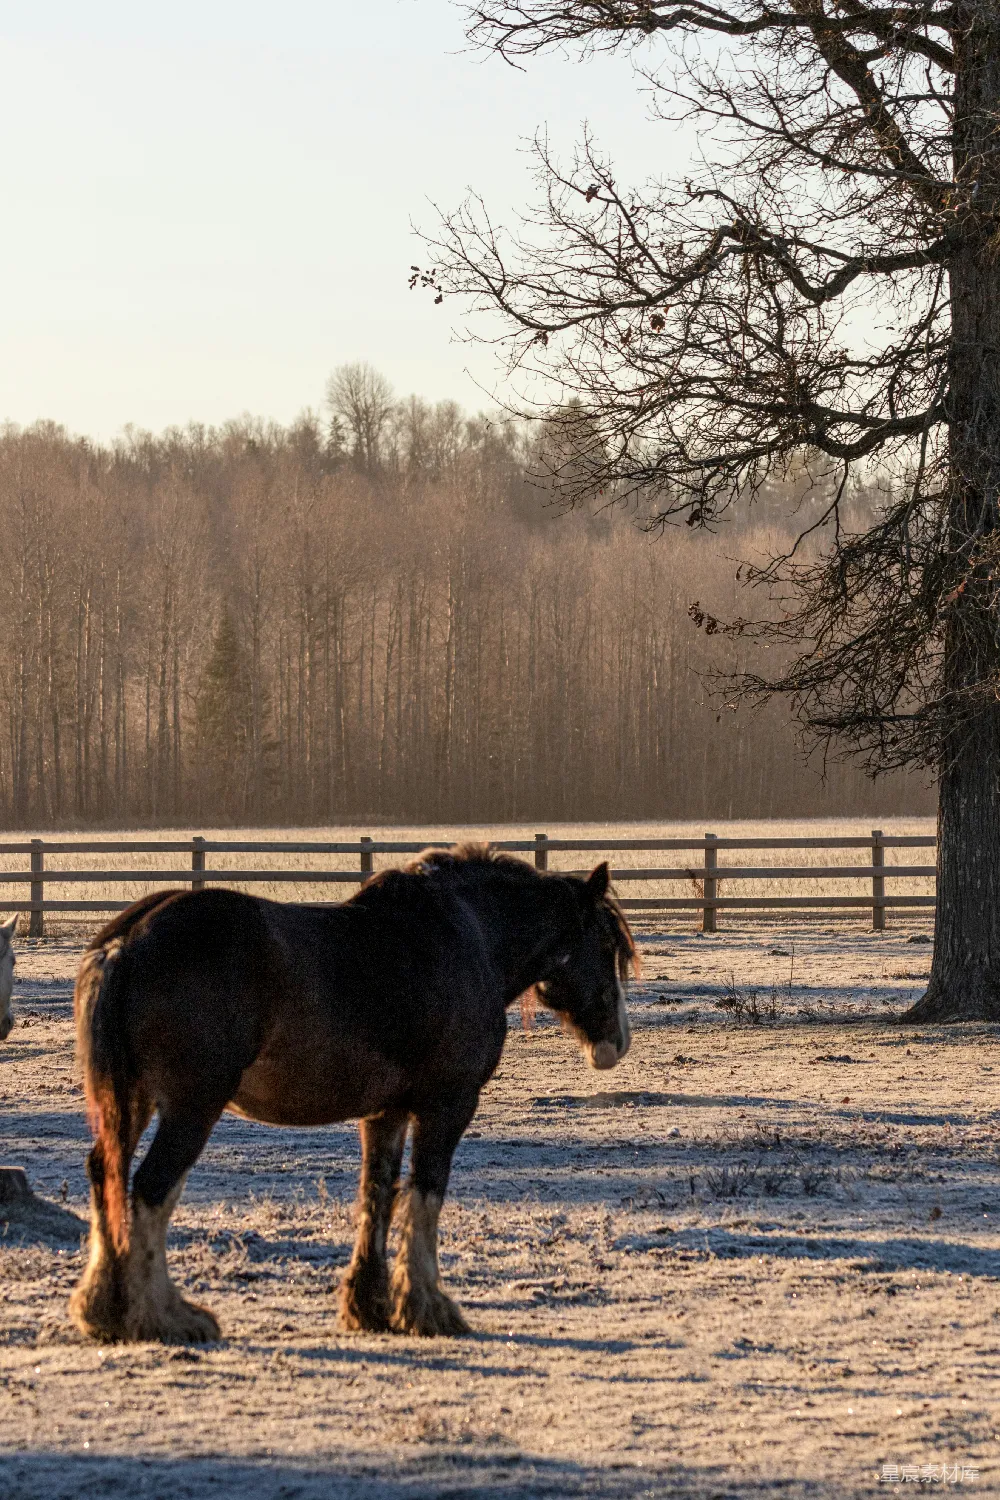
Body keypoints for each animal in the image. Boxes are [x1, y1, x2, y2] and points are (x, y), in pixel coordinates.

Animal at [68, 844, 636, 1345]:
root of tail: (127, 940)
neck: (467, 935)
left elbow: (377, 1194)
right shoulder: (447, 1105)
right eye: (608, 946)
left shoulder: (386, 1113)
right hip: (191, 1107)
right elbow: (427, 1193)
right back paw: (163, 1317)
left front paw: (371, 1306)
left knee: (106, 1175)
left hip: (131, 1099)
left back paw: (104, 1311)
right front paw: (428, 1308)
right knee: (152, 1188)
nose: (616, 1042)